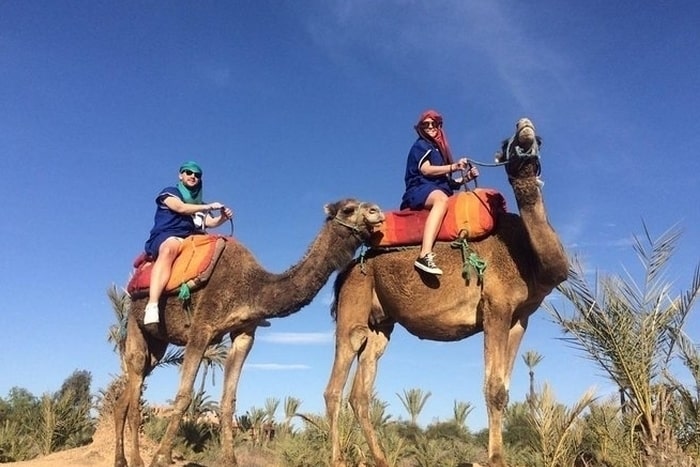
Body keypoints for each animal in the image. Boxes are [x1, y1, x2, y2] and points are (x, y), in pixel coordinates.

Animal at [116, 199, 388, 467]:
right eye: (349, 209)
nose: (377, 211)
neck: (251, 287)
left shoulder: (244, 332)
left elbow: (228, 401)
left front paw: (229, 460)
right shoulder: (202, 327)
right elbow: (184, 396)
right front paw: (161, 457)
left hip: (157, 343)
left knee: (129, 392)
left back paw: (122, 459)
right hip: (135, 322)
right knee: (136, 382)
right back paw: (135, 460)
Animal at [322, 119, 568, 467]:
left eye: (539, 140)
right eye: (506, 143)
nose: (525, 127)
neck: (526, 256)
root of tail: (345, 271)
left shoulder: (520, 317)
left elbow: (505, 387)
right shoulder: (495, 306)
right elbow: (494, 388)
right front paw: (495, 459)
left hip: (381, 321)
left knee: (362, 388)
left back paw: (381, 458)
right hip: (355, 300)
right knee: (337, 379)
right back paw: (337, 458)